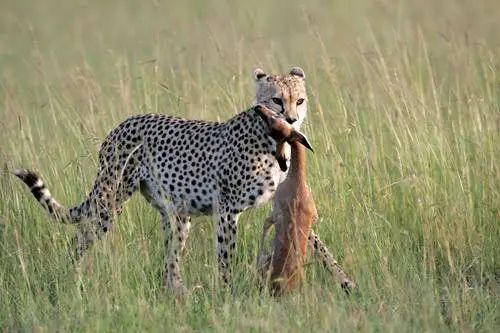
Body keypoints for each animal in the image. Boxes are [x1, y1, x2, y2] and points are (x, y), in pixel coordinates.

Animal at [12, 67, 348, 294]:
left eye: (300, 100)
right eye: (277, 100)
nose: (292, 120)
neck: (270, 136)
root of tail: (121, 124)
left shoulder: (287, 204)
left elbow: (316, 242)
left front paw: (345, 281)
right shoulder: (227, 209)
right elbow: (226, 255)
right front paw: (226, 293)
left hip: (176, 216)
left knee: (169, 263)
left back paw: (177, 294)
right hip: (110, 202)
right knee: (80, 238)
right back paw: (68, 279)